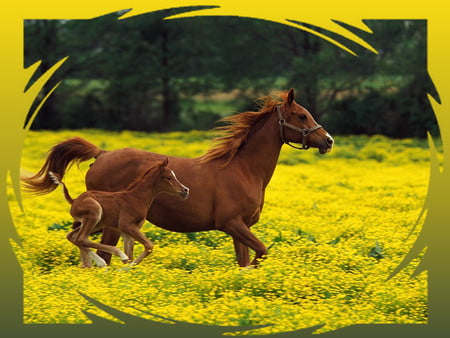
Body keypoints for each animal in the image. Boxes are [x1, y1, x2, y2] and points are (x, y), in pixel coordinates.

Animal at [22, 90, 332, 266]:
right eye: (301, 115)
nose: (328, 141)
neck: (244, 170)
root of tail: (102, 153)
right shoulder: (232, 224)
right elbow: (262, 252)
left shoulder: (239, 229)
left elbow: (244, 262)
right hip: (109, 223)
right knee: (95, 247)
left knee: (82, 241)